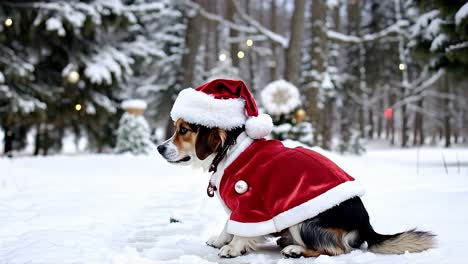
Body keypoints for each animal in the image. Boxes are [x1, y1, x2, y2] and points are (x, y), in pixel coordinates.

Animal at [157, 78, 436, 258]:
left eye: (183, 130)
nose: (159, 148)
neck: (228, 152)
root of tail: (365, 222)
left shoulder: (249, 203)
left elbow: (240, 230)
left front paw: (233, 247)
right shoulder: (239, 210)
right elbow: (229, 224)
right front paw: (220, 239)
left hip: (304, 221)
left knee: (336, 249)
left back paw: (295, 249)